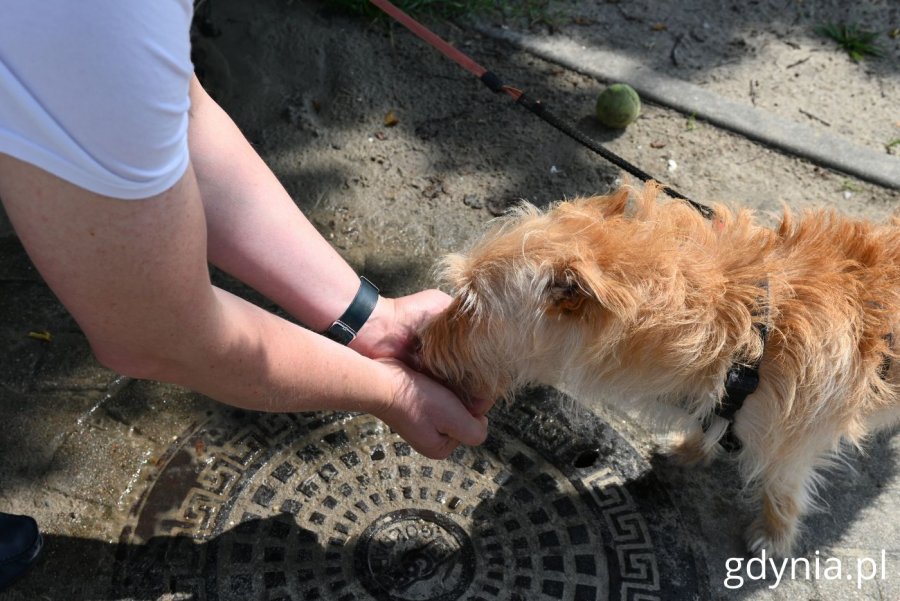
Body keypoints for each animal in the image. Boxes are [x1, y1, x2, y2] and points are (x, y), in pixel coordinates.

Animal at [420, 180, 900, 556]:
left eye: (470, 305)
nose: (419, 343)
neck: (745, 328)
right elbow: (713, 425)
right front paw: (691, 449)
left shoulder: (792, 445)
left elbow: (781, 489)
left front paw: (773, 535)